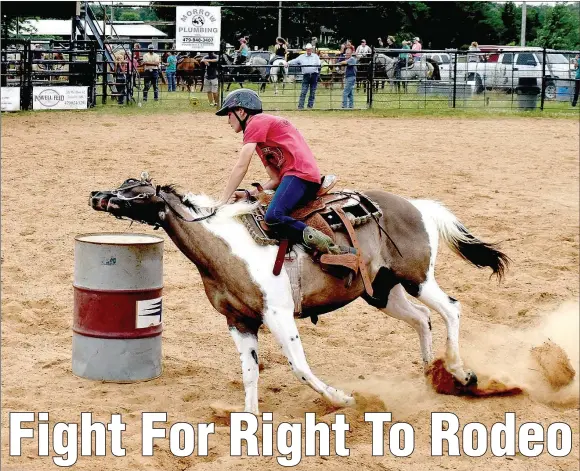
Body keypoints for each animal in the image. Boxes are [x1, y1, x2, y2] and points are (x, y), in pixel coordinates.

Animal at [88, 173, 510, 412]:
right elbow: (250, 372)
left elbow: (300, 368)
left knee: (451, 310)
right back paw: (429, 374)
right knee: (422, 320)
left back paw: (461, 373)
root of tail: (417, 206)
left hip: (417, 278)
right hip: (383, 292)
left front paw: (342, 399)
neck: (227, 246)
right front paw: (250, 419)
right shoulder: (239, 322)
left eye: (136, 190)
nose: (96, 195)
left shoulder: (278, 315)